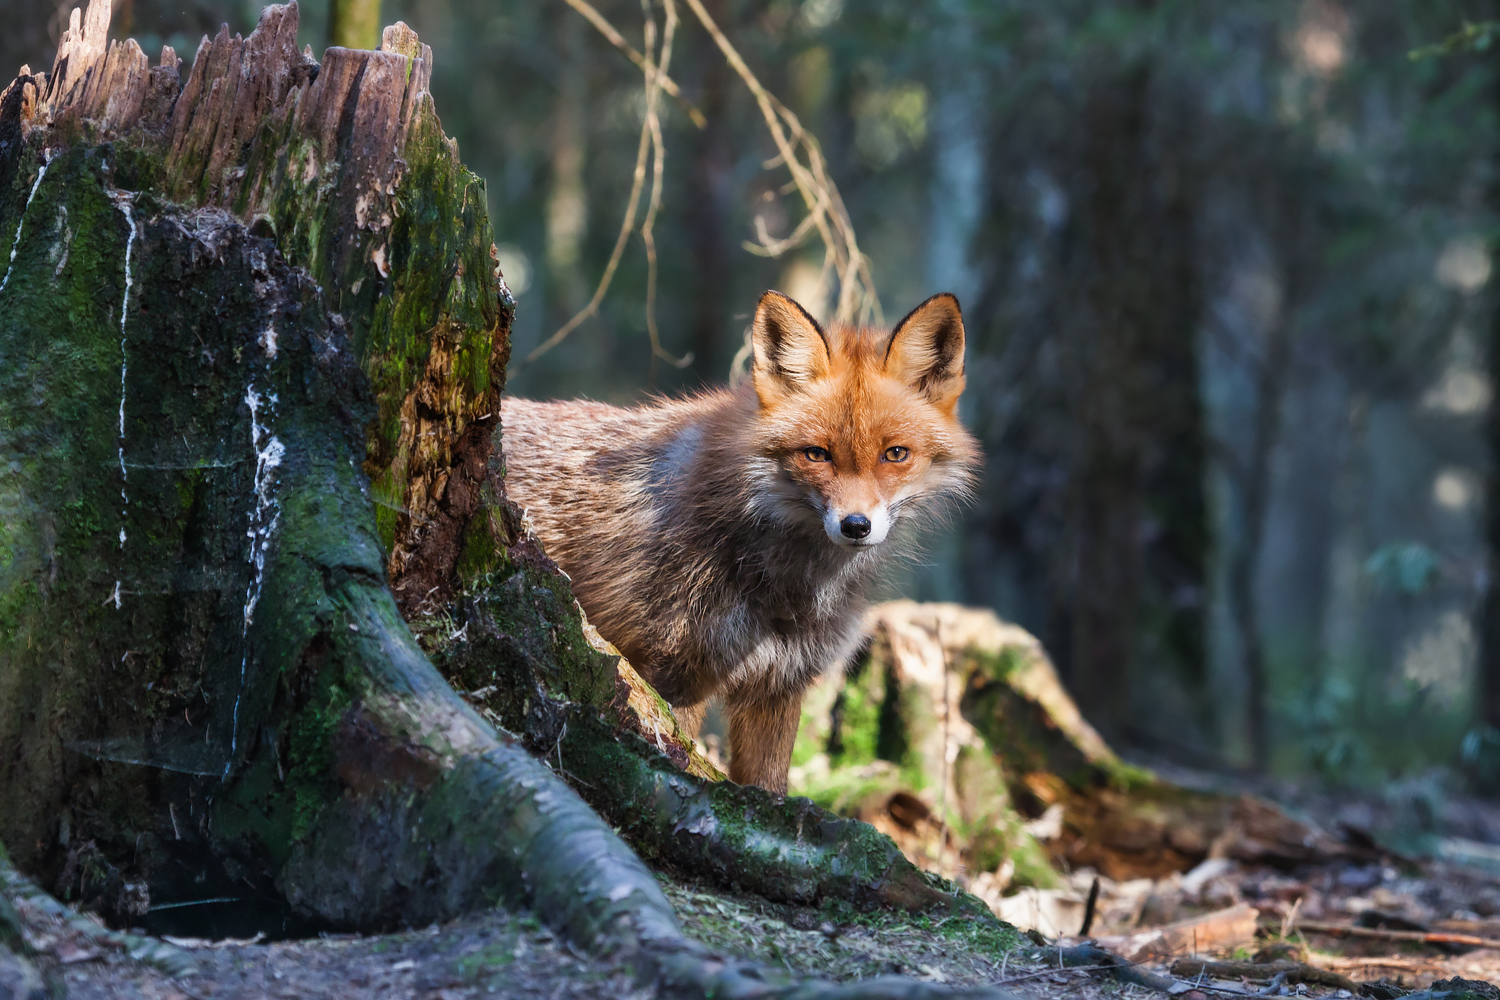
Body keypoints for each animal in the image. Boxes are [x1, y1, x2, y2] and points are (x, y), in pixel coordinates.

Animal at [498, 289, 978, 791]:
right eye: (816, 455)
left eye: (895, 454)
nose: (855, 526)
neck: (785, 587)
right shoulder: (673, 671)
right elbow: (680, 754)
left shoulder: (779, 684)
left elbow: (768, 786)